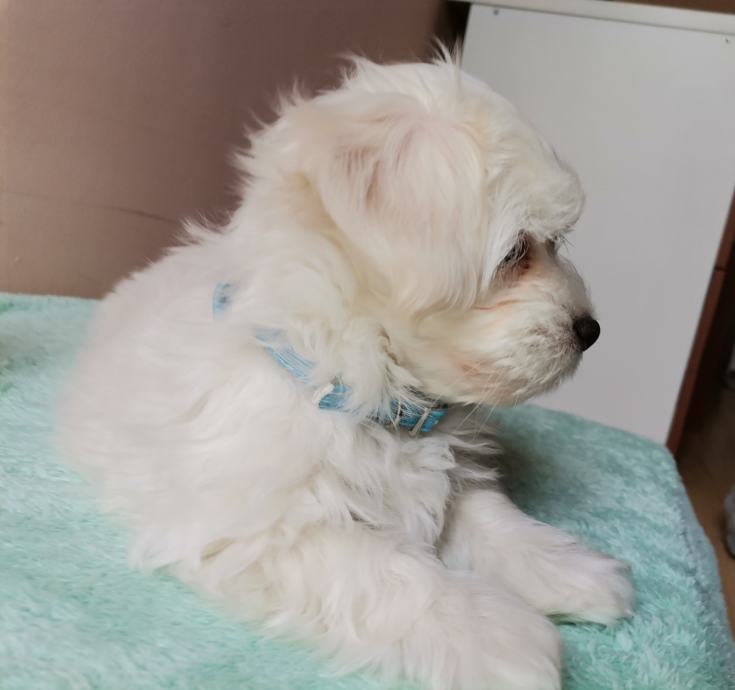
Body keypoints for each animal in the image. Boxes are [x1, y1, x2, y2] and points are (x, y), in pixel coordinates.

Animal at [60, 53, 633, 690]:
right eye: (514, 254)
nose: (590, 330)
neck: (367, 394)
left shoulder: (451, 475)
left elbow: (490, 518)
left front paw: (571, 571)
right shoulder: (266, 530)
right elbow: (390, 574)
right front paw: (505, 638)